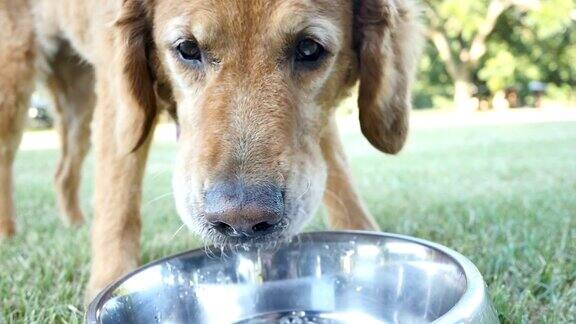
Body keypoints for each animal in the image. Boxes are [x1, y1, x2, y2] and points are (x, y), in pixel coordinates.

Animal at [0, 0, 424, 300]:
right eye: (187, 48)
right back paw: (8, 233)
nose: (242, 221)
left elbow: (337, 174)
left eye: (308, 48)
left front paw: (367, 238)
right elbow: (118, 198)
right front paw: (110, 278)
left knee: (62, 172)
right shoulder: (120, 99)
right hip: (17, 78)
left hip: (79, 99)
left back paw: (73, 222)